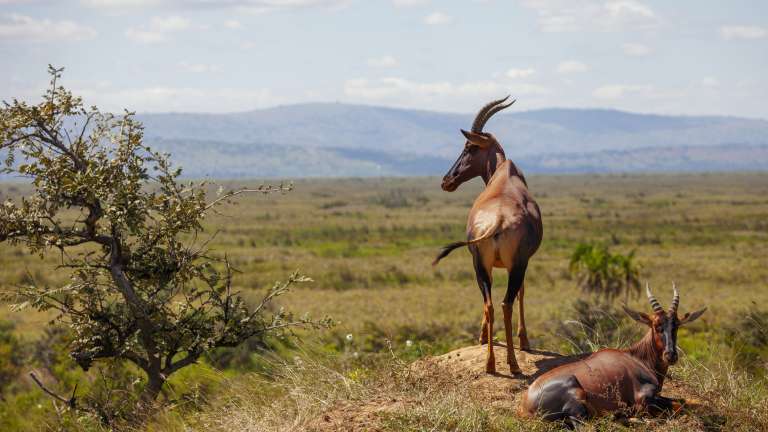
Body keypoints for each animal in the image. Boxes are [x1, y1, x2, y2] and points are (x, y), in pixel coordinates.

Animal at [433, 96, 543, 375]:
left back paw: (491, 364)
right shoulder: (522, 262)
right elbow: (523, 292)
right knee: (505, 303)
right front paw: (525, 341)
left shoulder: (496, 265)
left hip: (480, 264)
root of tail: (499, 221)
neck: (506, 175)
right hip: (513, 266)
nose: (447, 181)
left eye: (470, 147)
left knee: (491, 304)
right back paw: (512, 364)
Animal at [521, 284, 707, 426]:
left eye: (676, 325)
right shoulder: (644, 399)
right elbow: (679, 406)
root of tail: (525, 406)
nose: (671, 355)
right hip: (577, 402)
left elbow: (686, 401)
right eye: (656, 325)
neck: (636, 357)